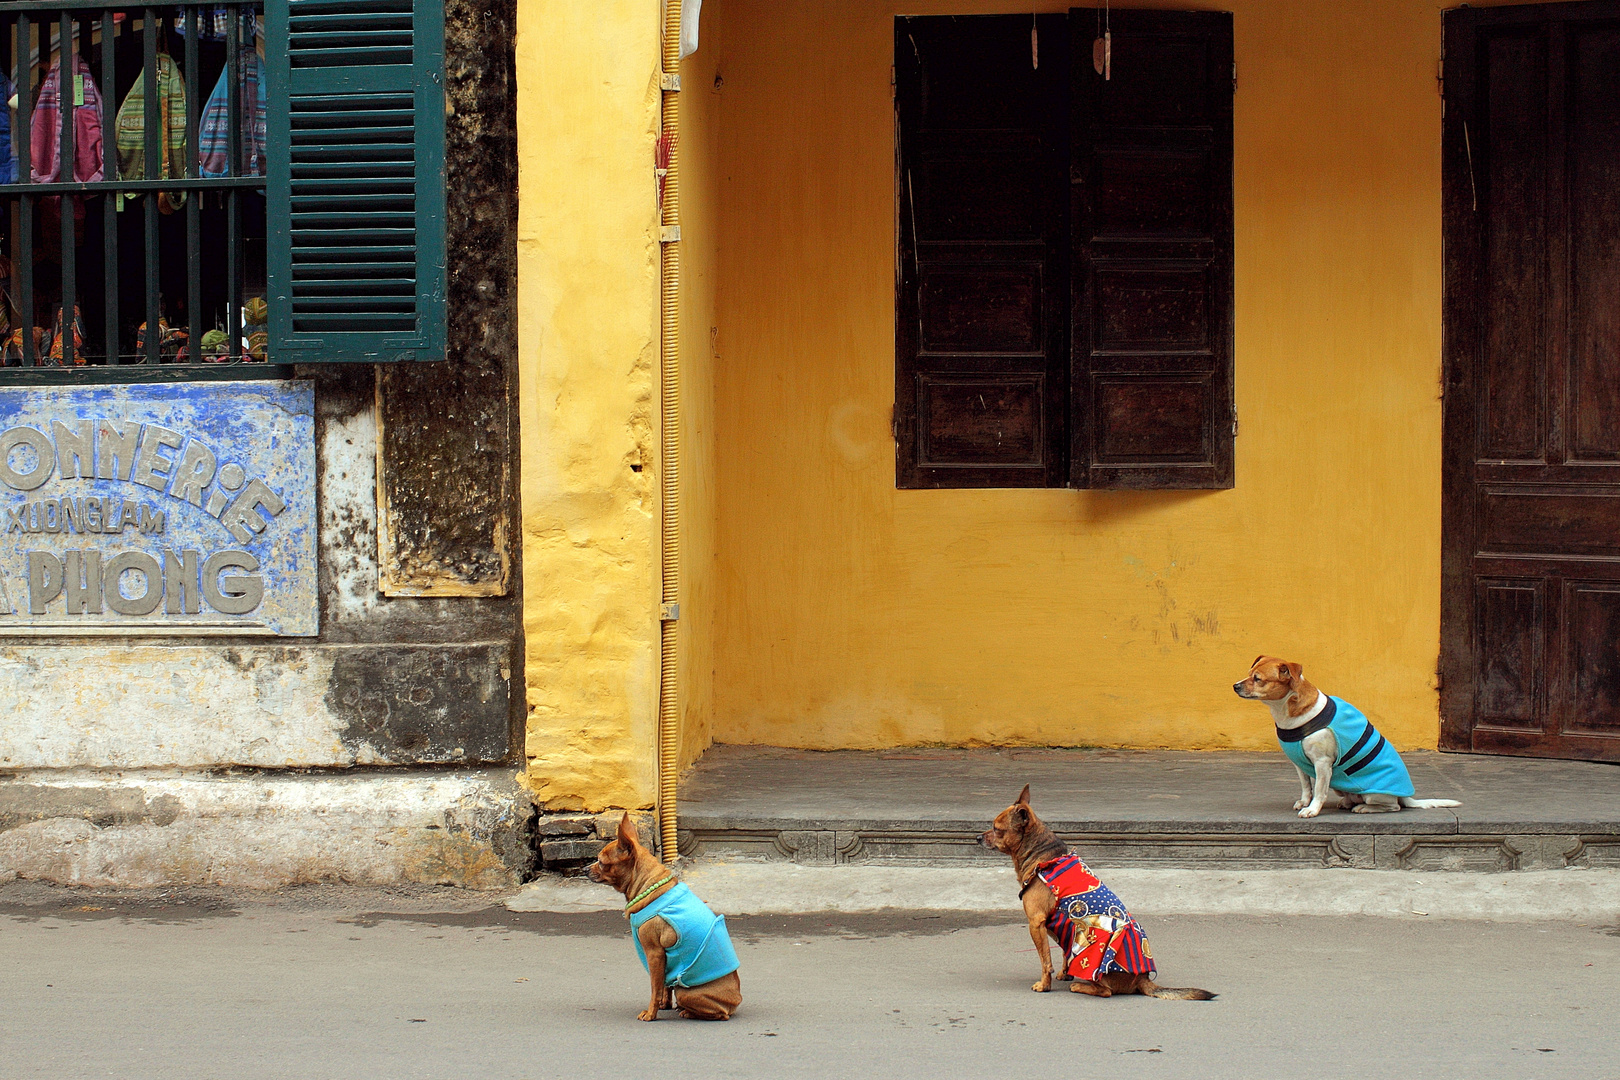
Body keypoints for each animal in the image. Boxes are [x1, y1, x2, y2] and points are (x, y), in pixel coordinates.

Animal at [586, 809, 741, 1023]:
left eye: (601, 862)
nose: (584, 869)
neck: (648, 886)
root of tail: (735, 1001)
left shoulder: (654, 954)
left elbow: (655, 987)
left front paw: (651, 1013)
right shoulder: (665, 960)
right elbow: (664, 986)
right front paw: (664, 1005)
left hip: (686, 992)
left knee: (719, 1014)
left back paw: (688, 1012)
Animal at [972, 786, 1218, 1003]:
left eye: (996, 828)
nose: (977, 838)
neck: (1042, 856)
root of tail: (1144, 979)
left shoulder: (1036, 923)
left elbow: (1045, 960)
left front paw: (1044, 985)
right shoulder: (1061, 926)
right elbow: (1063, 953)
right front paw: (1063, 973)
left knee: (1106, 991)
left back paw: (1080, 986)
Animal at [1231, 660, 1464, 819]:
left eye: (1258, 679)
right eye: (1249, 674)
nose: (1235, 685)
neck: (1288, 712)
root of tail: (1406, 796)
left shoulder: (1322, 763)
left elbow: (1319, 790)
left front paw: (1312, 809)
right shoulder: (1299, 764)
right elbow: (1307, 786)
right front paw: (1305, 802)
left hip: (1376, 794)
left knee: (1394, 807)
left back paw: (1364, 807)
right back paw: (1347, 803)